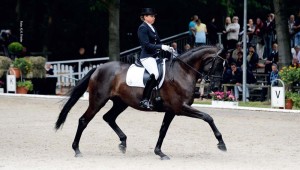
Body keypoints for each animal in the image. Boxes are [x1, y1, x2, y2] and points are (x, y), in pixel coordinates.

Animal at [55, 45, 226, 159]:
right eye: (217, 65)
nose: (216, 88)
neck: (183, 72)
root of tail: (98, 68)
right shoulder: (180, 108)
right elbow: (208, 117)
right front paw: (221, 144)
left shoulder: (171, 110)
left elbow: (163, 130)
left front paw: (159, 152)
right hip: (98, 101)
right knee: (84, 120)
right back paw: (77, 150)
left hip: (121, 103)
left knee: (108, 117)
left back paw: (123, 143)